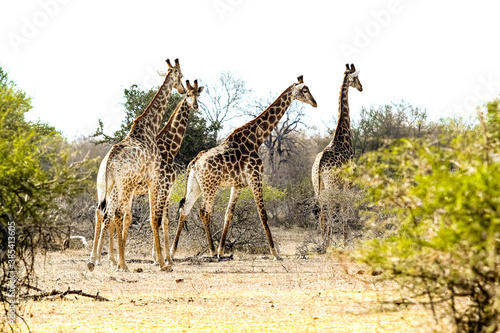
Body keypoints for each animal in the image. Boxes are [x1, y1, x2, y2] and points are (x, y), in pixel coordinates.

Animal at [88, 78, 203, 270]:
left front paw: (163, 258)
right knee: (110, 216)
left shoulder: (165, 188)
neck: (169, 149)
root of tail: (106, 165)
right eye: (188, 94)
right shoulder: (163, 186)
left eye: (198, 95)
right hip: (118, 192)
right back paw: (104, 258)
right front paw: (161, 259)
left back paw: (103, 258)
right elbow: (158, 219)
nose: (195, 105)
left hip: (105, 190)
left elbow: (162, 219)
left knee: (103, 214)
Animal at [168, 75, 316, 260]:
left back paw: (173, 251)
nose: (315, 103)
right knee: (204, 211)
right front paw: (275, 252)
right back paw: (210, 251)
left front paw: (221, 251)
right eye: (304, 90)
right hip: (210, 187)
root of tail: (193, 163)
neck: (256, 139)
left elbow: (229, 214)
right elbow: (263, 214)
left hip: (195, 186)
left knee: (185, 209)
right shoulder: (255, 177)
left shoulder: (238, 185)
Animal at [310, 63, 362, 244]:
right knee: (330, 208)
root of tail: (318, 165)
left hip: (318, 185)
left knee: (322, 210)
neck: (342, 134)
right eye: (356, 78)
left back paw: (323, 241)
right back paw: (327, 241)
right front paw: (345, 240)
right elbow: (345, 206)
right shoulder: (349, 179)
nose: (361, 87)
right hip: (330, 183)